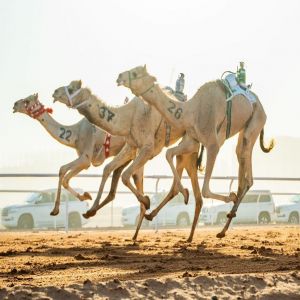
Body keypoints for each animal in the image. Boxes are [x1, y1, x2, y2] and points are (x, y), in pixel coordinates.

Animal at [116, 66, 274, 239]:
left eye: (136, 73)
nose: (119, 76)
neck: (191, 111)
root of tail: (259, 102)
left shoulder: (212, 145)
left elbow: (205, 190)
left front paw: (228, 196)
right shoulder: (192, 141)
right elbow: (169, 153)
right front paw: (184, 193)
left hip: (256, 121)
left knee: (247, 170)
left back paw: (229, 212)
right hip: (244, 129)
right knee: (240, 162)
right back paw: (223, 228)